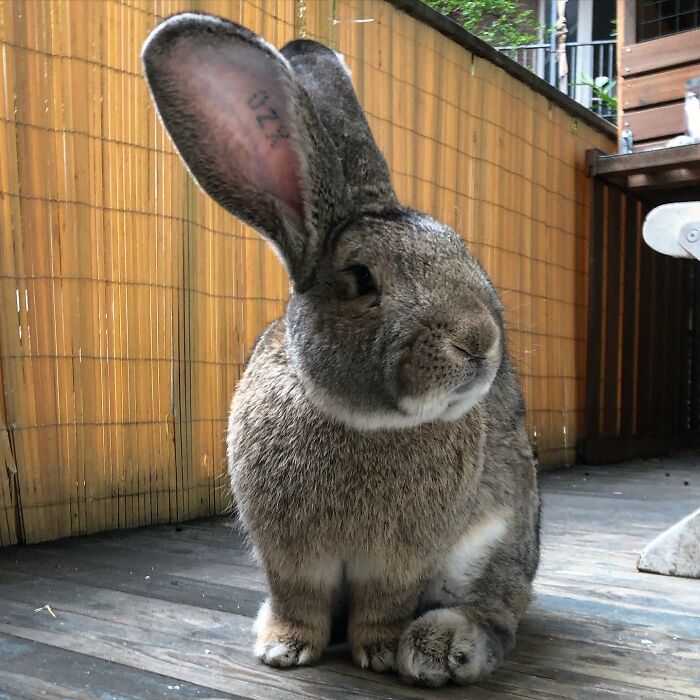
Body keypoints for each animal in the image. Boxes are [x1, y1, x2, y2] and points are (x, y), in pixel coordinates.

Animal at [142, 13, 540, 687]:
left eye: (461, 250)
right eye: (359, 279)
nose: (480, 342)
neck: (360, 419)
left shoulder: (399, 562)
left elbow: (384, 605)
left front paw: (377, 652)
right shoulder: (290, 558)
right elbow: (297, 600)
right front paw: (284, 648)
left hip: (497, 542)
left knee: (498, 610)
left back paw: (438, 645)